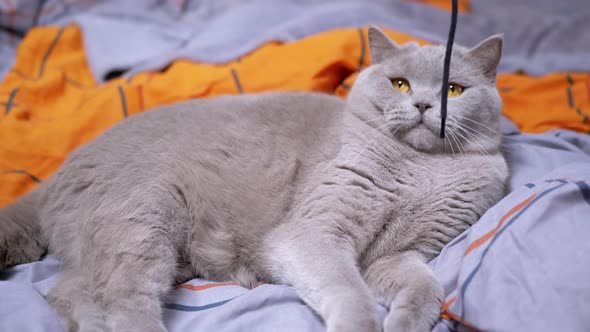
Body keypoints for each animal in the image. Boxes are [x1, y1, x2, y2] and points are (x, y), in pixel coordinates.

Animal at [0, 28, 508, 332]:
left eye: (454, 90)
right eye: (400, 83)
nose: (423, 104)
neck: (420, 169)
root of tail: (59, 171)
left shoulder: (401, 253)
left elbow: (425, 288)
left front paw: (404, 323)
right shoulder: (314, 231)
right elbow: (347, 290)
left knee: (68, 290)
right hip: (144, 216)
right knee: (123, 297)